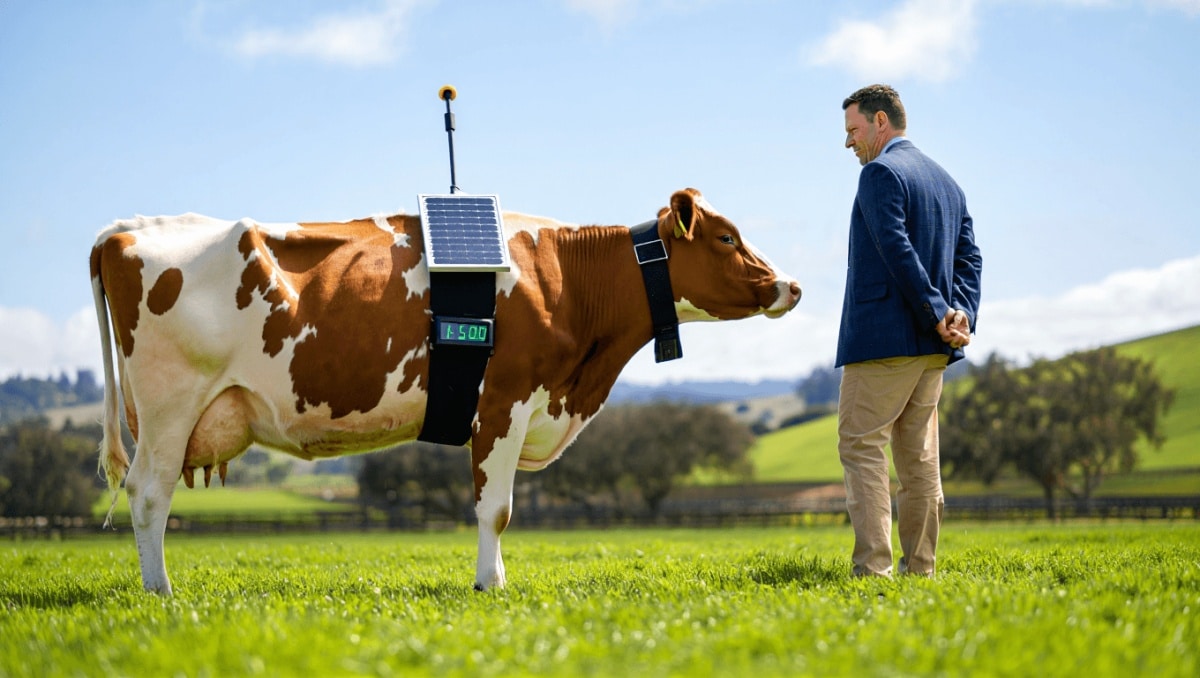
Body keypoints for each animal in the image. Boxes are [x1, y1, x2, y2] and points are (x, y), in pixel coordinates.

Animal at [90, 188, 801, 595]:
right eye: (727, 237)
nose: (791, 285)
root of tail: (128, 227)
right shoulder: (504, 399)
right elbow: (497, 509)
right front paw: (492, 585)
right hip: (169, 407)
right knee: (149, 496)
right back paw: (161, 592)